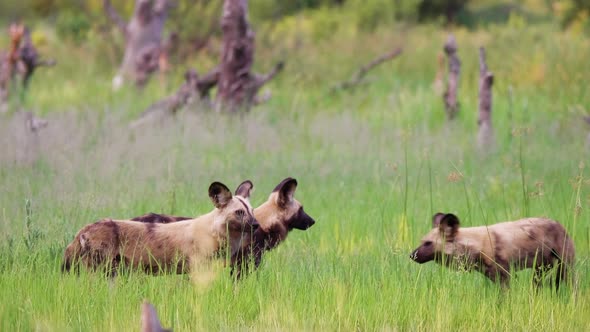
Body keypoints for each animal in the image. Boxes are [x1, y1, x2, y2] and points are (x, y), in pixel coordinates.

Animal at [412, 213, 580, 288]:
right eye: (422, 241)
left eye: (428, 243)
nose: (411, 255)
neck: (473, 246)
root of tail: (559, 225)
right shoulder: (495, 277)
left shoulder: (505, 276)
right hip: (540, 271)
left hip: (566, 268)